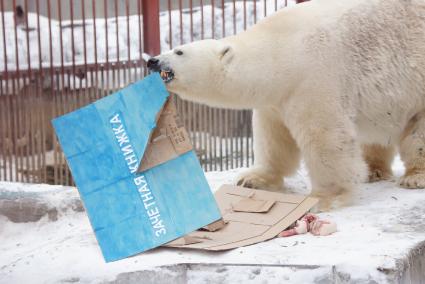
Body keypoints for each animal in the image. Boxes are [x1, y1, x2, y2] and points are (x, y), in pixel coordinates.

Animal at [147, 0, 424, 210]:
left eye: (179, 51)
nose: (152, 61)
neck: (279, 51)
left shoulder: (314, 79)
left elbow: (326, 138)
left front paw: (324, 197)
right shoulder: (276, 98)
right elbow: (274, 138)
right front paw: (252, 179)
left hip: (417, 88)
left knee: (417, 134)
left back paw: (413, 178)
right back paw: (374, 171)